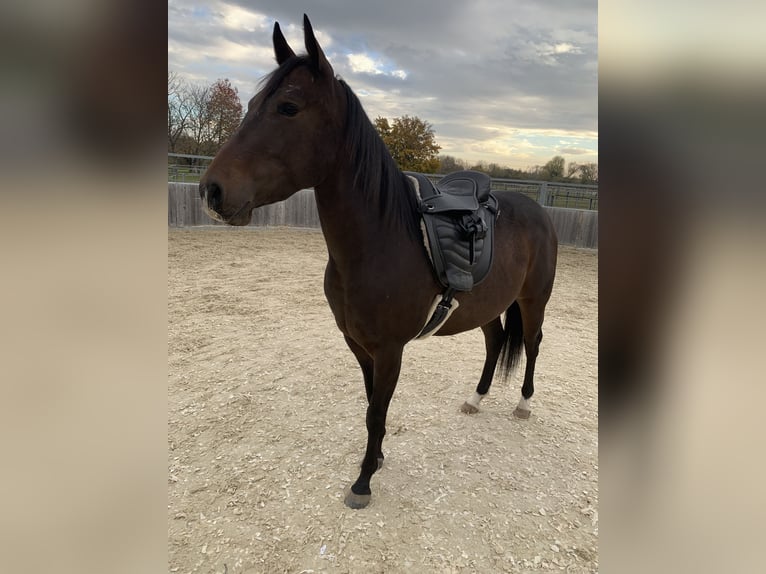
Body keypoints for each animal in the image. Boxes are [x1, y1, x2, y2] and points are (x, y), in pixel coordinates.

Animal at [199, 15, 558, 509]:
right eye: (251, 103)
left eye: (288, 107)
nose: (211, 191)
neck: (378, 243)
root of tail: (539, 211)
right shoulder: (358, 345)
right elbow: (372, 403)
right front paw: (378, 459)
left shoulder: (390, 350)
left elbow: (375, 411)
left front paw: (363, 481)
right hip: (488, 306)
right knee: (494, 341)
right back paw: (476, 398)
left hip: (533, 300)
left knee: (534, 343)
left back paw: (523, 404)